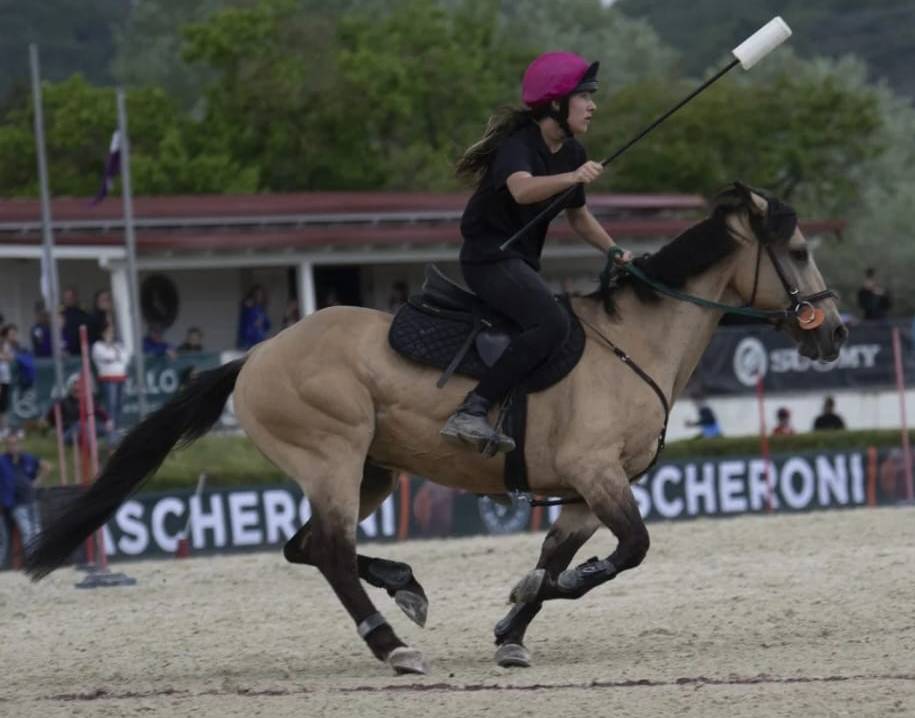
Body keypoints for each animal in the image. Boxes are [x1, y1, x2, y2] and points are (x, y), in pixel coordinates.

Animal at [25, 182, 847, 675]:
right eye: (799, 250)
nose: (836, 332)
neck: (633, 344)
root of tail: (255, 354)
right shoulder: (597, 475)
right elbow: (628, 553)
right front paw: (532, 600)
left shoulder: (584, 495)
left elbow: (558, 561)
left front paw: (513, 627)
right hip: (333, 455)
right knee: (328, 551)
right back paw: (389, 644)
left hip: (371, 472)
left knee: (306, 546)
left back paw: (406, 589)